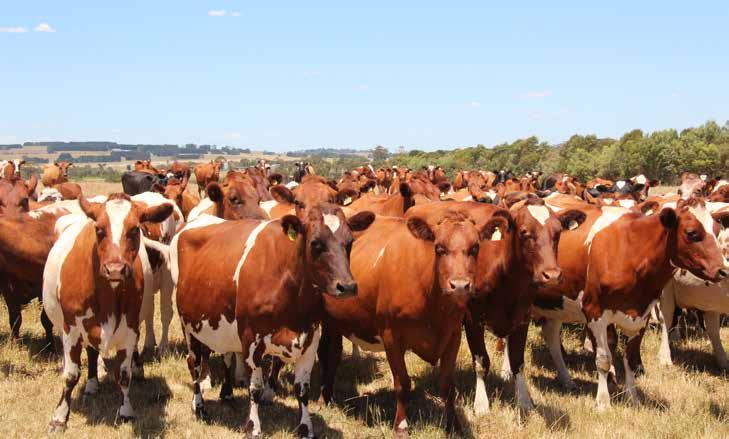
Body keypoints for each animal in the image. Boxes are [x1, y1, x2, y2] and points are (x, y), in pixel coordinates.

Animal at [42, 193, 172, 434]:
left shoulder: (129, 329)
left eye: (135, 229)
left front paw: (126, 411)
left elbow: (123, 375)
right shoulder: (71, 329)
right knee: (91, 353)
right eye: (99, 229)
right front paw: (59, 417)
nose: (115, 269)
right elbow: (71, 375)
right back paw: (92, 383)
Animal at [318, 204, 506, 436]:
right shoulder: (391, 336)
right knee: (327, 354)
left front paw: (454, 426)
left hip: (336, 320)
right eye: (439, 248)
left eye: (475, 248)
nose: (460, 285)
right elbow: (402, 383)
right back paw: (322, 398)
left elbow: (448, 385)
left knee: (333, 353)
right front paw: (401, 426)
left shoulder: (452, 335)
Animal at [532, 199, 724, 410]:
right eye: (691, 233)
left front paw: (633, 398)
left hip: (555, 306)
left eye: (717, 230)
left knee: (551, 337)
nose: (723, 270)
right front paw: (603, 402)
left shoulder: (641, 315)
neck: (631, 251)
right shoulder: (594, 312)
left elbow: (631, 360)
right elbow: (603, 360)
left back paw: (566, 380)